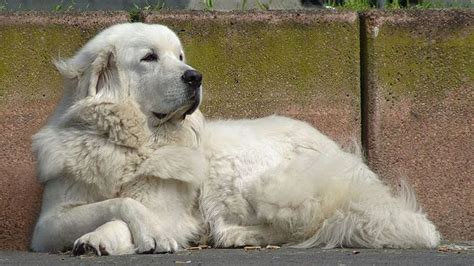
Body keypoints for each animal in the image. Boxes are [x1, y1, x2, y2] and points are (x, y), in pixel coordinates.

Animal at [31, 22, 440, 256]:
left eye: (180, 56)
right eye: (149, 57)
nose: (195, 76)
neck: (128, 144)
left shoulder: (170, 212)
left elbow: (133, 211)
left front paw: (110, 238)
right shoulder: (48, 224)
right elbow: (118, 204)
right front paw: (100, 235)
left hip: (261, 183)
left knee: (305, 225)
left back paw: (234, 235)